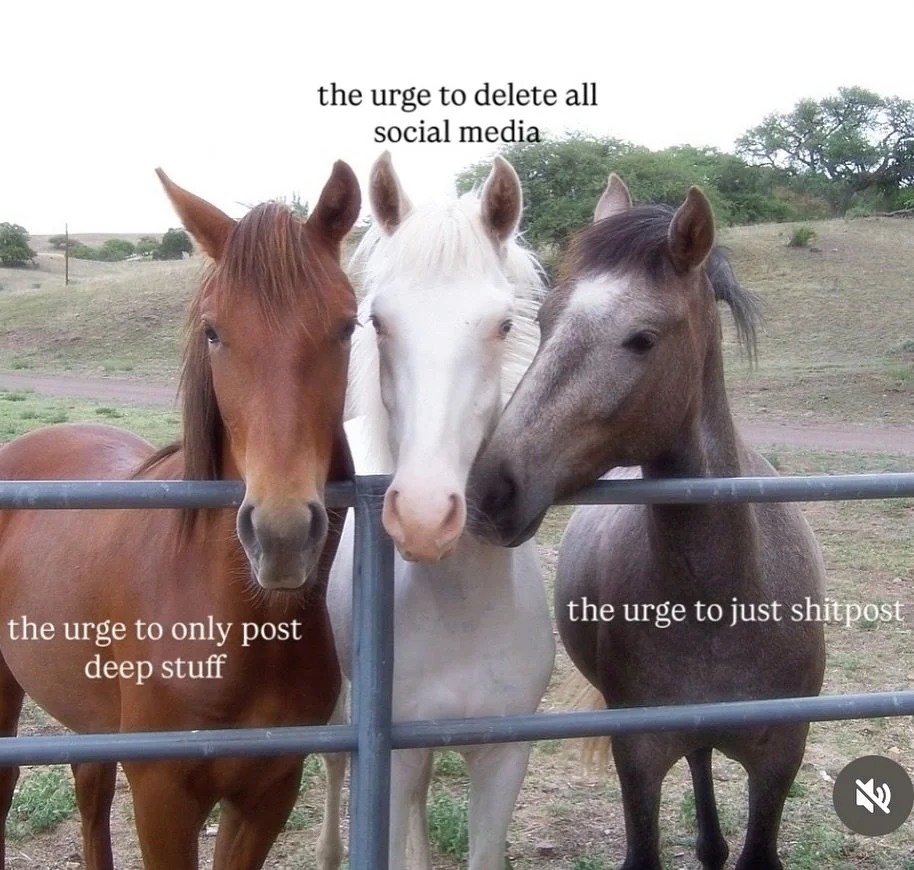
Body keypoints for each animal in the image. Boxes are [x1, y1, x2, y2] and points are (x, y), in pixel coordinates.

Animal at [0, 161, 361, 869]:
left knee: (89, 794)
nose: (281, 535)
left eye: (348, 326)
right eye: (213, 332)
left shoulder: (268, 794)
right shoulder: (162, 798)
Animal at [315, 152, 555, 870]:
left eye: (503, 325)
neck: (462, 611)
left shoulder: (503, 760)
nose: (424, 517)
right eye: (377, 322)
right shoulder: (386, 767)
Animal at [466, 176, 826, 870]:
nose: (489, 489)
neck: (723, 604)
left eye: (641, 339)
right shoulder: (639, 759)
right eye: (546, 322)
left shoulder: (780, 762)